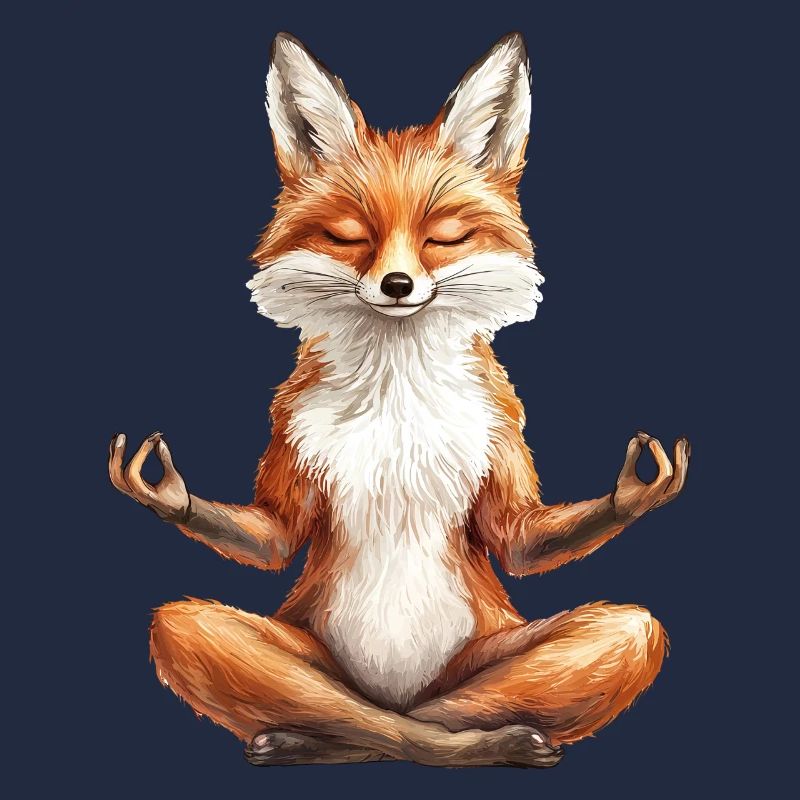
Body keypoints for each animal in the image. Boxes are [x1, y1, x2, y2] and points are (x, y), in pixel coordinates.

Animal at [109, 32, 690, 768]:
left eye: (443, 236)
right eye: (349, 235)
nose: (397, 284)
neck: (396, 394)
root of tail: (396, 691)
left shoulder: (501, 434)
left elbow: (518, 540)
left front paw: (633, 491)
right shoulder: (289, 432)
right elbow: (276, 536)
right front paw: (168, 492)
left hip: (525, 648)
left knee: (441, 709)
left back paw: (486, 738)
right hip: (249, 637)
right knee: (351, 708)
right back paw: (317, 738)